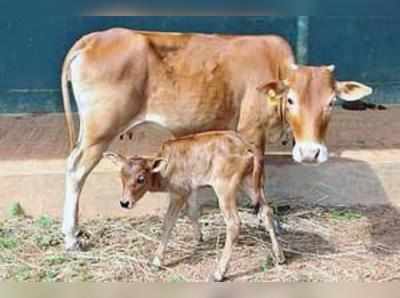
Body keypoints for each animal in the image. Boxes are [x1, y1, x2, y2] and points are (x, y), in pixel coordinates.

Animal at [61, 29, 372, 250]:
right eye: (291, 99)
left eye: (331, 102)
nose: (310, 153)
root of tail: (93, 39)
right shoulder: (252, 134)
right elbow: (259, 180)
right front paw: (264, 217)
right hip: (99, 131)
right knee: (76, 170)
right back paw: (71, 238)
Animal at [103, 131, 284, 282]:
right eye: (122, 176)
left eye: (140, 178)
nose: (125, 202)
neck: (163, 171)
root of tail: (247, 147)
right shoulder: (192, 189)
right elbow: (193, 212)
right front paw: (199, 238)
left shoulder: (179, 192)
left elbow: (168, 223)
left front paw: (156, 261)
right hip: (250, 183)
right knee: (266, 211)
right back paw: (279, 256)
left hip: (224, 186)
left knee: (234, 223)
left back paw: (219, 272)